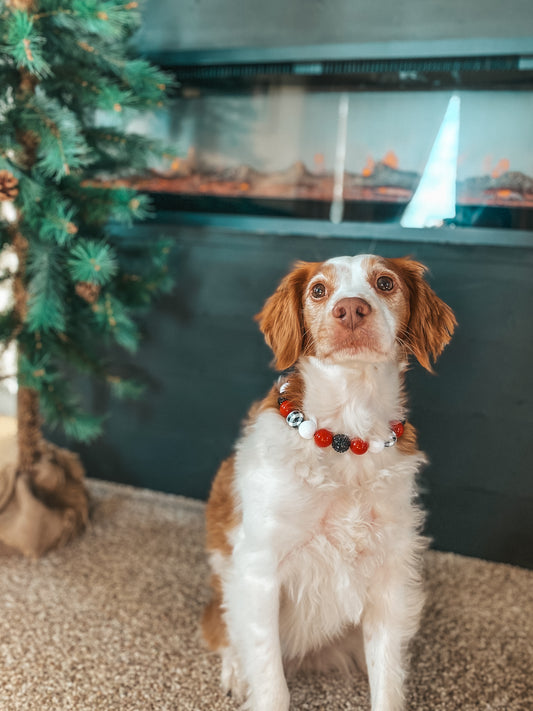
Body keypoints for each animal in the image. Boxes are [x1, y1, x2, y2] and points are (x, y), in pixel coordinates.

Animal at [202, 256, 456, 711]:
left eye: (385, 282)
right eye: (318, 290)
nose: (351, 310)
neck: (347, 439)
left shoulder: (390, 580)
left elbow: (388, 683)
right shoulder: (259, 570)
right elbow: (271, 683)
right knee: (223, 629)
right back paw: (235, 671)